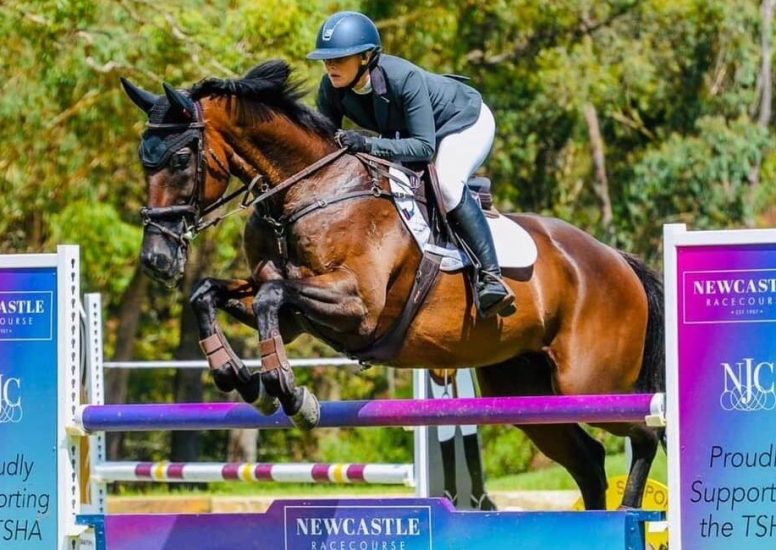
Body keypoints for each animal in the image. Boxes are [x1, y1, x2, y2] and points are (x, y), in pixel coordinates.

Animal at [121, 59, 664, 510]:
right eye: (144, 163)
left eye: (178, 161)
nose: (156, 260)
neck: (307, 191)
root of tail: (618, 260)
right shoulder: (293, 312)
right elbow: (212, 294)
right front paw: (239, 376)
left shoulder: (357, 305)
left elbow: (272, 297)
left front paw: (288, 392)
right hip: (526, 388)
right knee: (589, 461)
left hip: (589, 383)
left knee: (643, 433)